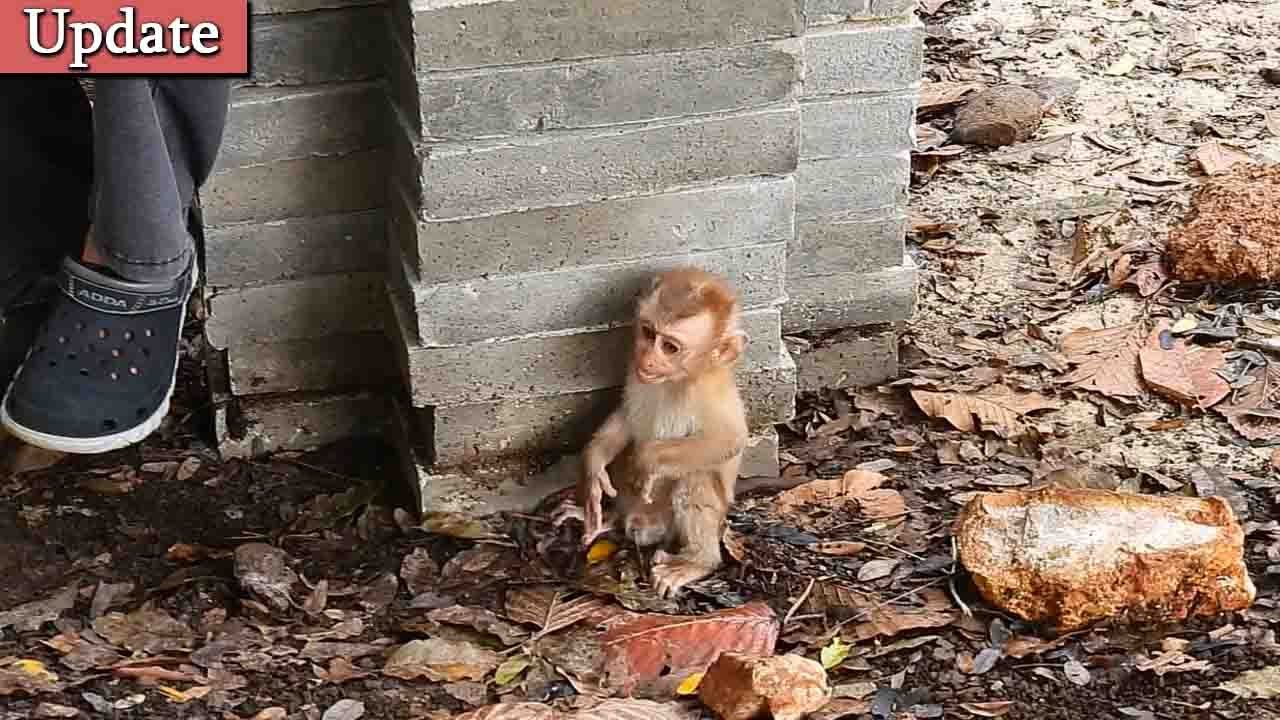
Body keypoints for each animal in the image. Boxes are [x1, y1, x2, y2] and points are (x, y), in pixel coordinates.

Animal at [553, 267, 749, 598]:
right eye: (647, 333)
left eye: (670, 347)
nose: (647, 359)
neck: (676, 382)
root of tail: (642, 526)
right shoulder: (635, 375)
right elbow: (627, 419)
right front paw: (593, 470)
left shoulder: (709, 394)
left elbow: (729, 441)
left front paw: (648, 459)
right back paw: (606, 520)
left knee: (695, 479)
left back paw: (697, 561)